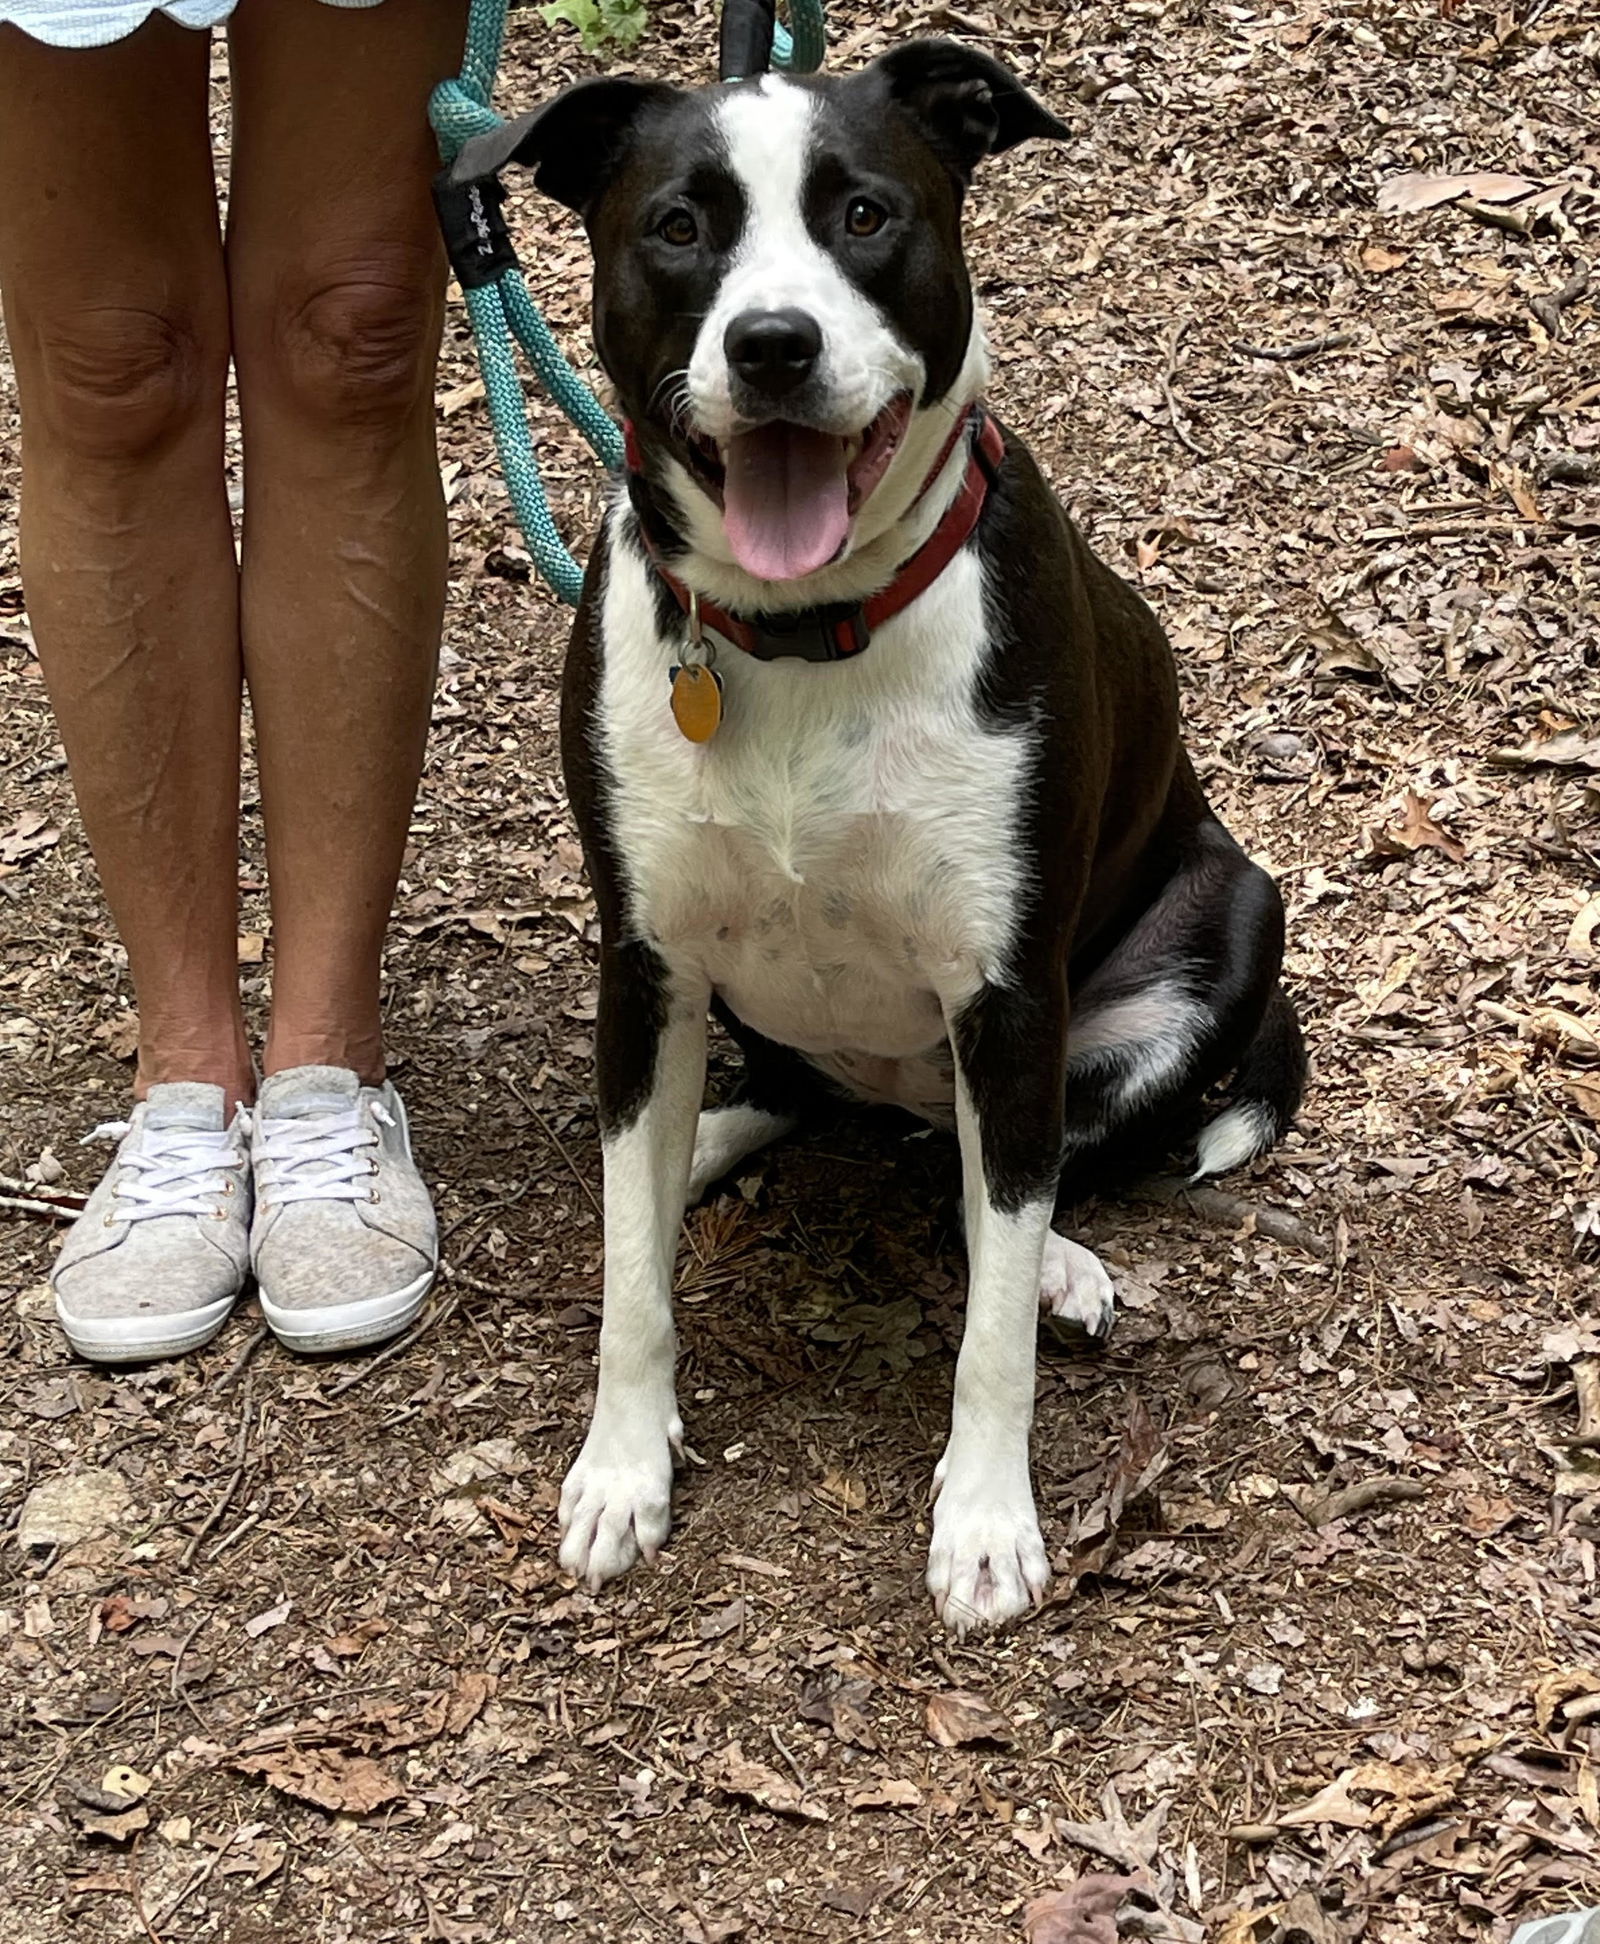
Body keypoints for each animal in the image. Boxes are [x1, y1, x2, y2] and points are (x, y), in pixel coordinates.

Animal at [460, 37, 1298, 1632]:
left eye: (863, 214)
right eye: (678, 226)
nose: (773, 345)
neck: (795, 632)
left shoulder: (1008, 992)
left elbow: (989, 1319)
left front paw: (984, 1519)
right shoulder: (643, 962)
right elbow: (631, 1281)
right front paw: (623, 1462)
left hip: (1220, 925)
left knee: (996, 1182)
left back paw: (1050, 1257)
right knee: (791, 1107)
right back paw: (698, 1147)